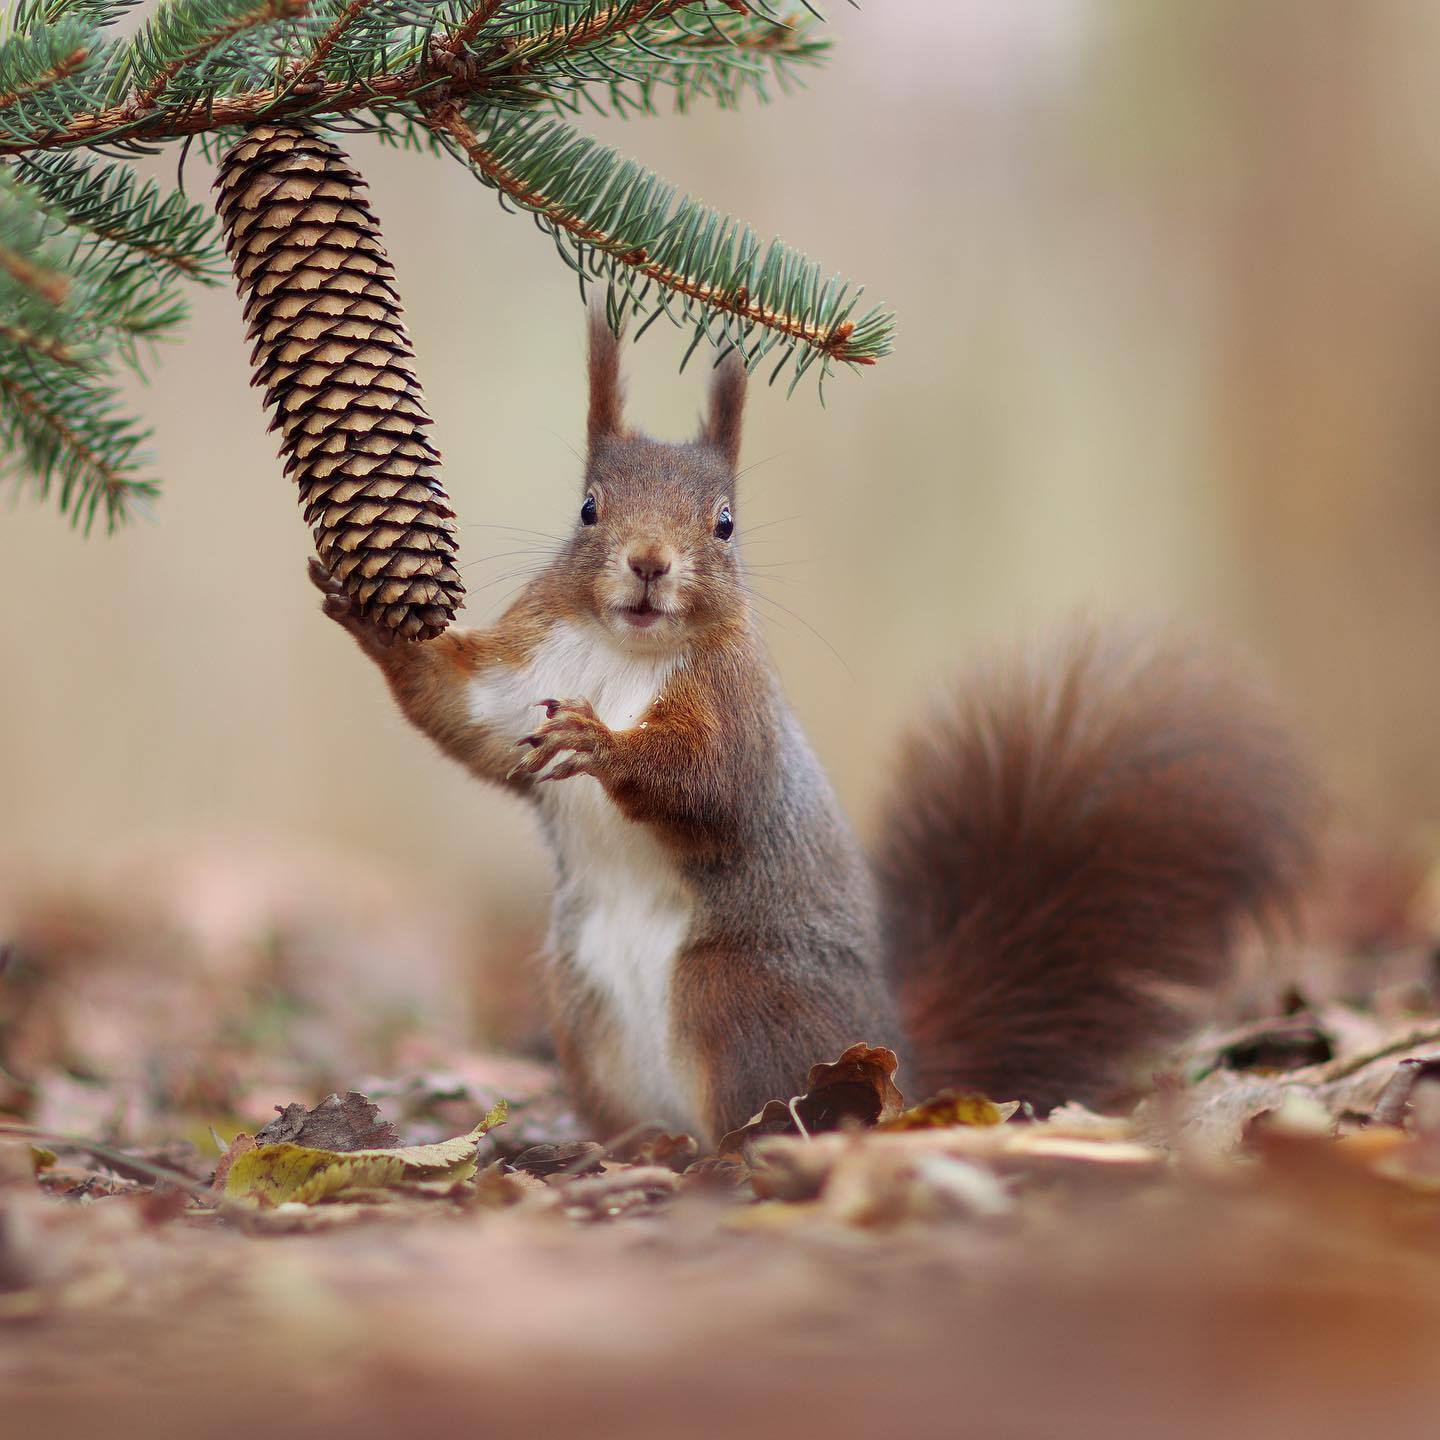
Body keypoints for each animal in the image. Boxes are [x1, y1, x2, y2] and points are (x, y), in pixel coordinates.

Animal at [312, 318, 1319, 1146]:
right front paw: (368, 615)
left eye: (724, 524)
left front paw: (608, 746)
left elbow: (714, 781)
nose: (648, 564)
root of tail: (896, 1056)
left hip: (732, 990)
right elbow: (466, 715)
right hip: (580, 1004)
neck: (622, 650)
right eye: (589, 508)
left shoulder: (738, 706)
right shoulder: (526, 678)